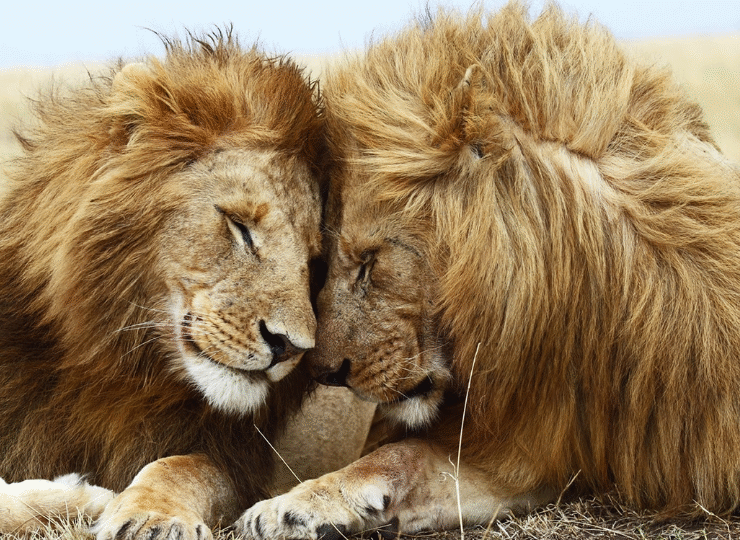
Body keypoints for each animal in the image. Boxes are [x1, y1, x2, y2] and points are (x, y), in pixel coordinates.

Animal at [0, 30, 326, 539]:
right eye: (240, 226)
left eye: (313, 261)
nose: (291, 347)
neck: (122, 367)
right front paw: (81, 496)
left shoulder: (231, 458)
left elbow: (183, 467)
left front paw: (151, 515)